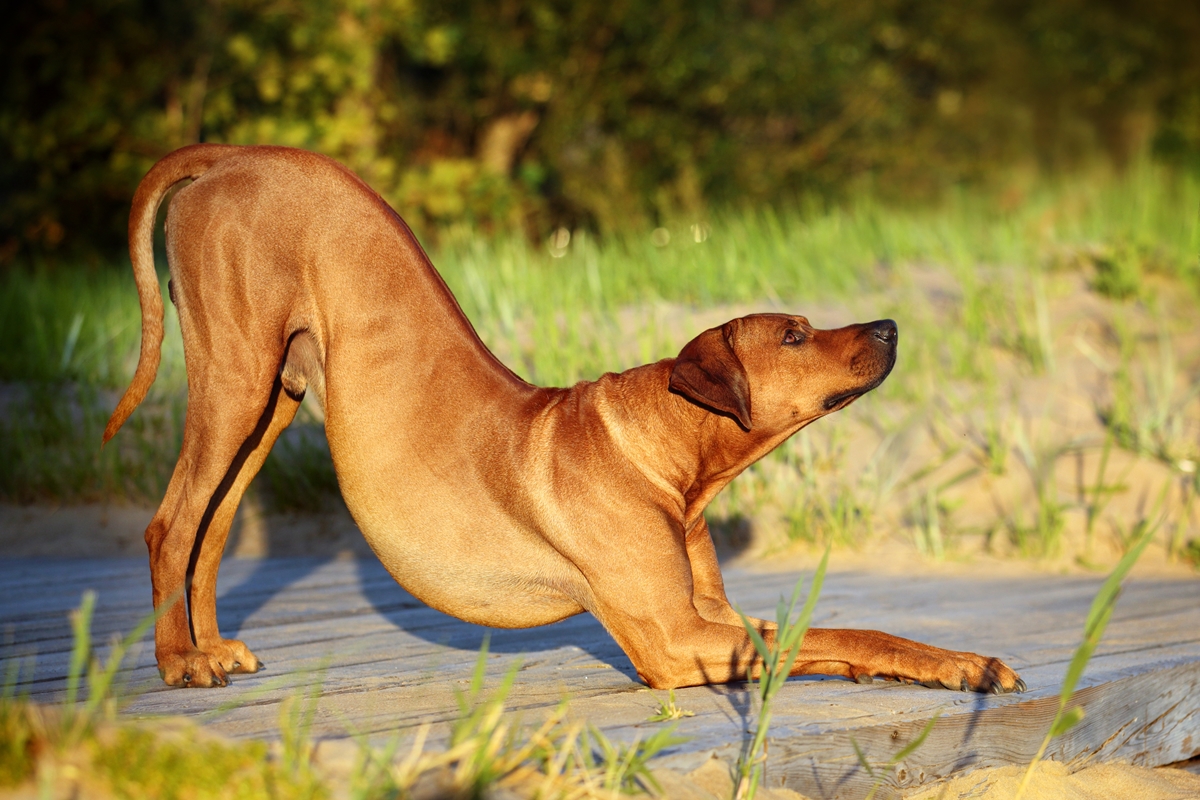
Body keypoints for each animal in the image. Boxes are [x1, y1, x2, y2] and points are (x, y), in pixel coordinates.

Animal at [105, 143, 1022, 695]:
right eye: (795, 335)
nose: (891, 326)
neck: (665, 458)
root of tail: (233, 152)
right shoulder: (671, 640)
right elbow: (822, 636)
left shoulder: (712, 617)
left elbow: (850, 628)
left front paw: (960, 664)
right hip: (235, 374)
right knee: (170, 523)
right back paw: (178, 662)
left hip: (273, 396)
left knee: (211, 529)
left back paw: (211, 647)